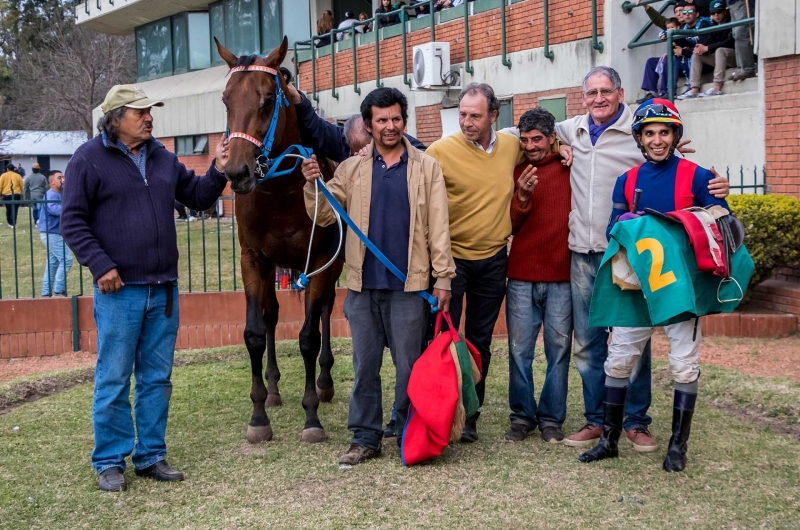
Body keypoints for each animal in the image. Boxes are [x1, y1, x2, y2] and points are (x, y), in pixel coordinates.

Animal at [217, 36, 342, 442]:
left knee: (324, 310)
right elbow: (255, 332)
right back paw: (272, 389)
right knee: (271, 315)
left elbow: (308, 336)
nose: (237, 172)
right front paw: (258, 416)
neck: (282, 192)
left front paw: (312, 416)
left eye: (268, 99)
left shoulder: (319, 260)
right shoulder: (254, 258)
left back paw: (324, 381)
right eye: (226, 99)